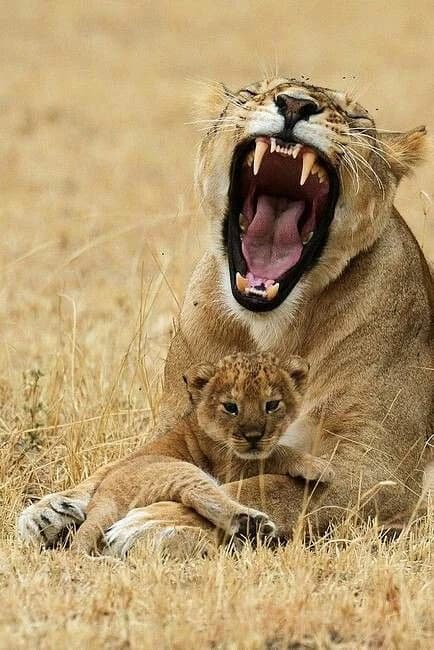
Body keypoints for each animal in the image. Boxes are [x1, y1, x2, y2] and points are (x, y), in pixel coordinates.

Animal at [18, 77, 433, 557]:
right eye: (254, 92)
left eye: (357, 117)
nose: (295, 104)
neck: (272, 328)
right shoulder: (178, 426)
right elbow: (126, 466)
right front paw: (52, 508)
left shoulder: (380, 471)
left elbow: (269, 488)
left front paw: (154, 522)